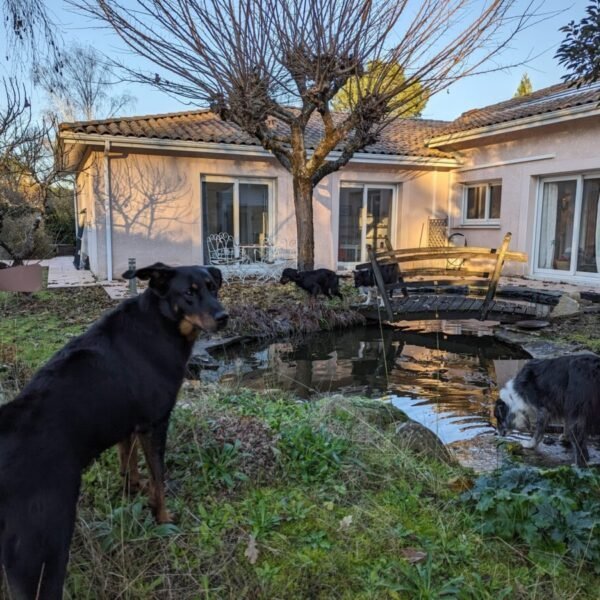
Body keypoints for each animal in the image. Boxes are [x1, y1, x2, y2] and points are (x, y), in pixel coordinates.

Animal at [0, 262, 227, 600]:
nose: (224, 316)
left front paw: (134, 488)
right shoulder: (154, 423)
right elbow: (159, 477)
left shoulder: (127, 423)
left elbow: (128, 461)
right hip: (42, 549)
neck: (160, 324)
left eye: (214, 287)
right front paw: (163, 518)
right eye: (189, 292)